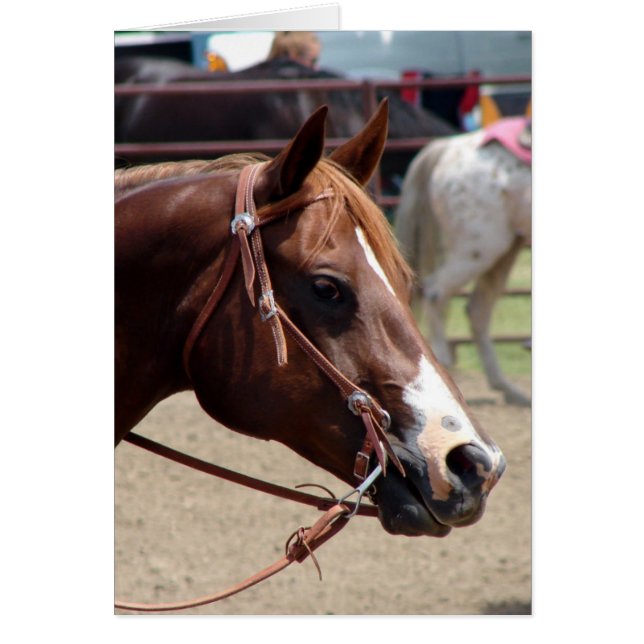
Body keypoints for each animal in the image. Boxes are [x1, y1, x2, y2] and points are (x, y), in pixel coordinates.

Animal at [394, 117, 532, 406]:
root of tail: (446, 147)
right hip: (480, 247)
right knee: (436, 292)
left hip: (505, 248)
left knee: (477, 309)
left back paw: (507, 387)